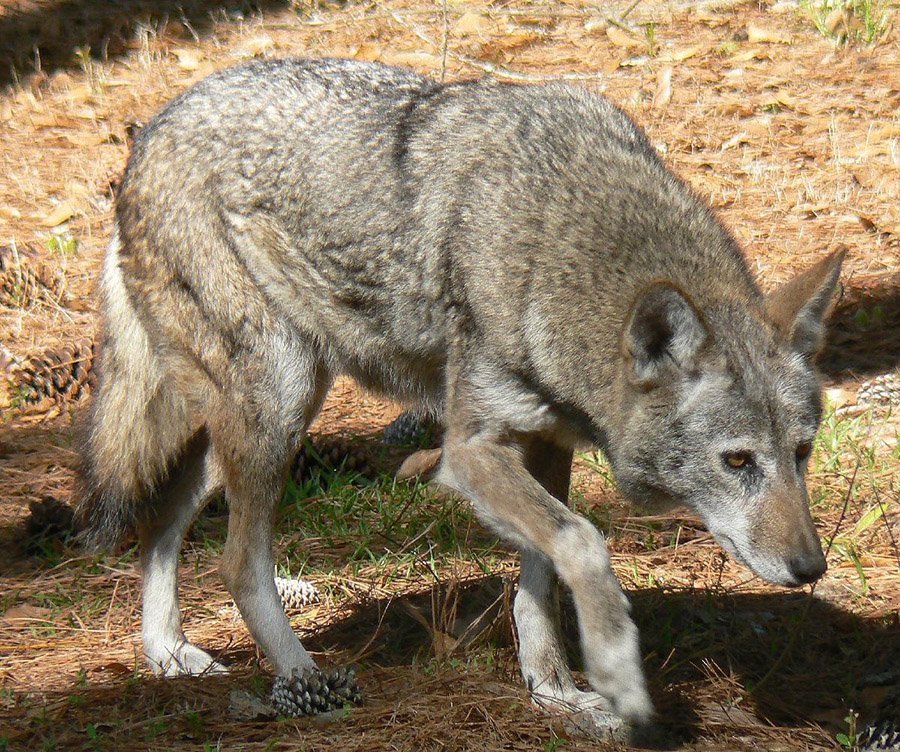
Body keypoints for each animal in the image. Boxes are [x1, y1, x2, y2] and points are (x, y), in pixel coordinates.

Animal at [78, 57, 843, 738]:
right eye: (737, 462)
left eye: (802, 453)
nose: (811, 569)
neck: (551, 239)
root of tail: (150, 133)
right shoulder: (468, 451)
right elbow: (584, 541)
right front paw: (617, 674)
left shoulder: (546, 442)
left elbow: (541, 581)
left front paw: (555, 691)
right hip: (279, 405)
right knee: (237, 562)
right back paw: (304, 683)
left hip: (260, 419)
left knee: (159, 517)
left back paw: (167, 655)